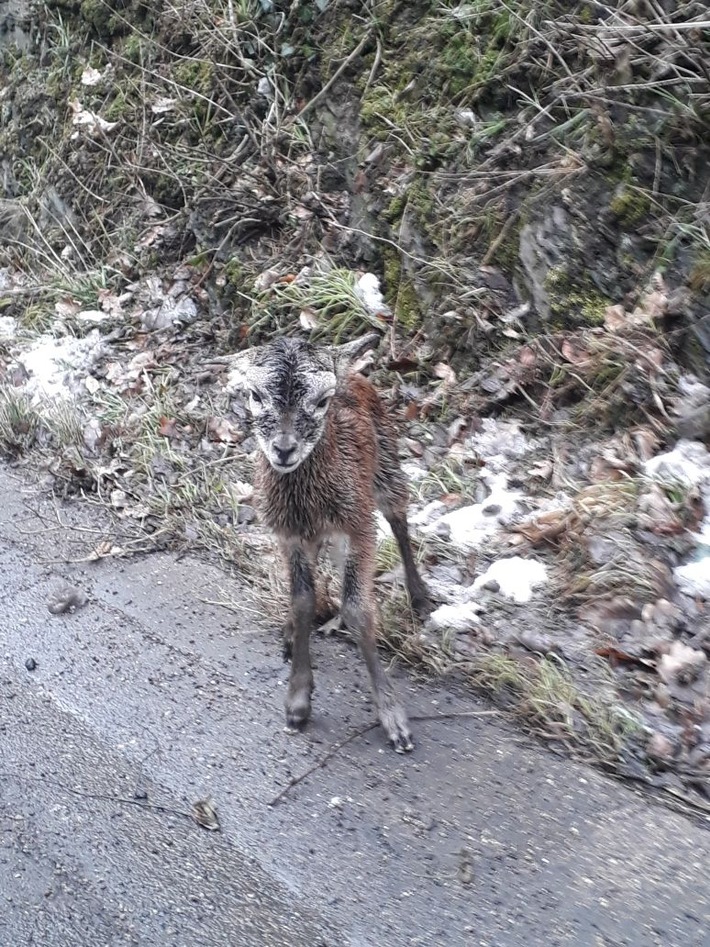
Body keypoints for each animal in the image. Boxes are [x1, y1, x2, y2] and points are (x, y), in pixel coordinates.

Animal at [225, 334, 432, 756]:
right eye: (255, 394)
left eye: (322, 401)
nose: (284, 449)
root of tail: (351, 369)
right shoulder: (288, 534)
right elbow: (302, 600)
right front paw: (297, 703)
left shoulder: (357, 525)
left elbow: (357, 609)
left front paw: (394, 720)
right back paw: (291, 634)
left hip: (386, 463)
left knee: (399, 518)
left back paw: (420, 599)